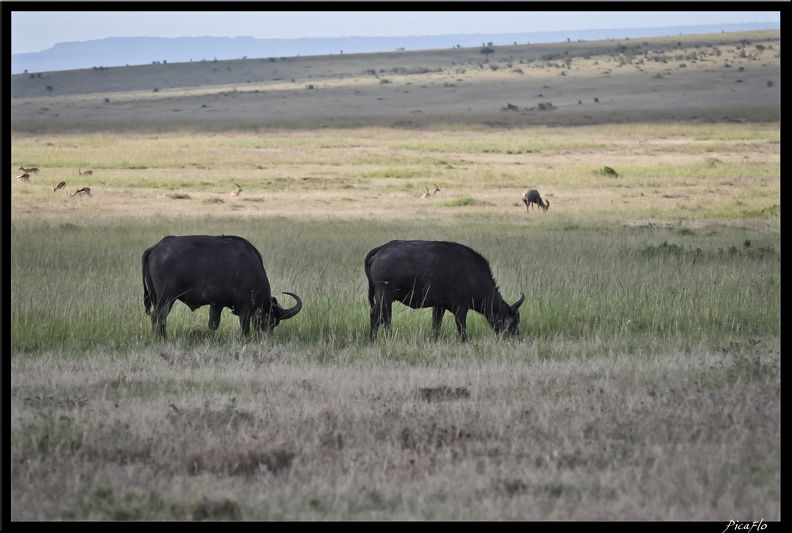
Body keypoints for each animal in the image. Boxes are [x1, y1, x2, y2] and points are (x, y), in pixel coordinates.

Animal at [141, 236, 302, 336]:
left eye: (275, 323)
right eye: (271, 321)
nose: (265, 336)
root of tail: (156, 247)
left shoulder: (216, 304)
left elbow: (213, 325)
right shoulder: (245, 307)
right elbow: (244, 327)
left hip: (156, 297)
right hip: (166, 298)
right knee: (158, 317)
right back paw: (162, 338)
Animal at [366, 240, 524, 340]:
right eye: (512, 322)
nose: (515, 338)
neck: (473, 274)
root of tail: (382, 249)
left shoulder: (439, 307)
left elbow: (436, 325)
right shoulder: (461, 310)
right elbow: (462, 329)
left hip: (385, 299)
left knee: (384, 318)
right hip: (384, 296)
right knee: (377, 316)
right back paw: (375, 340)